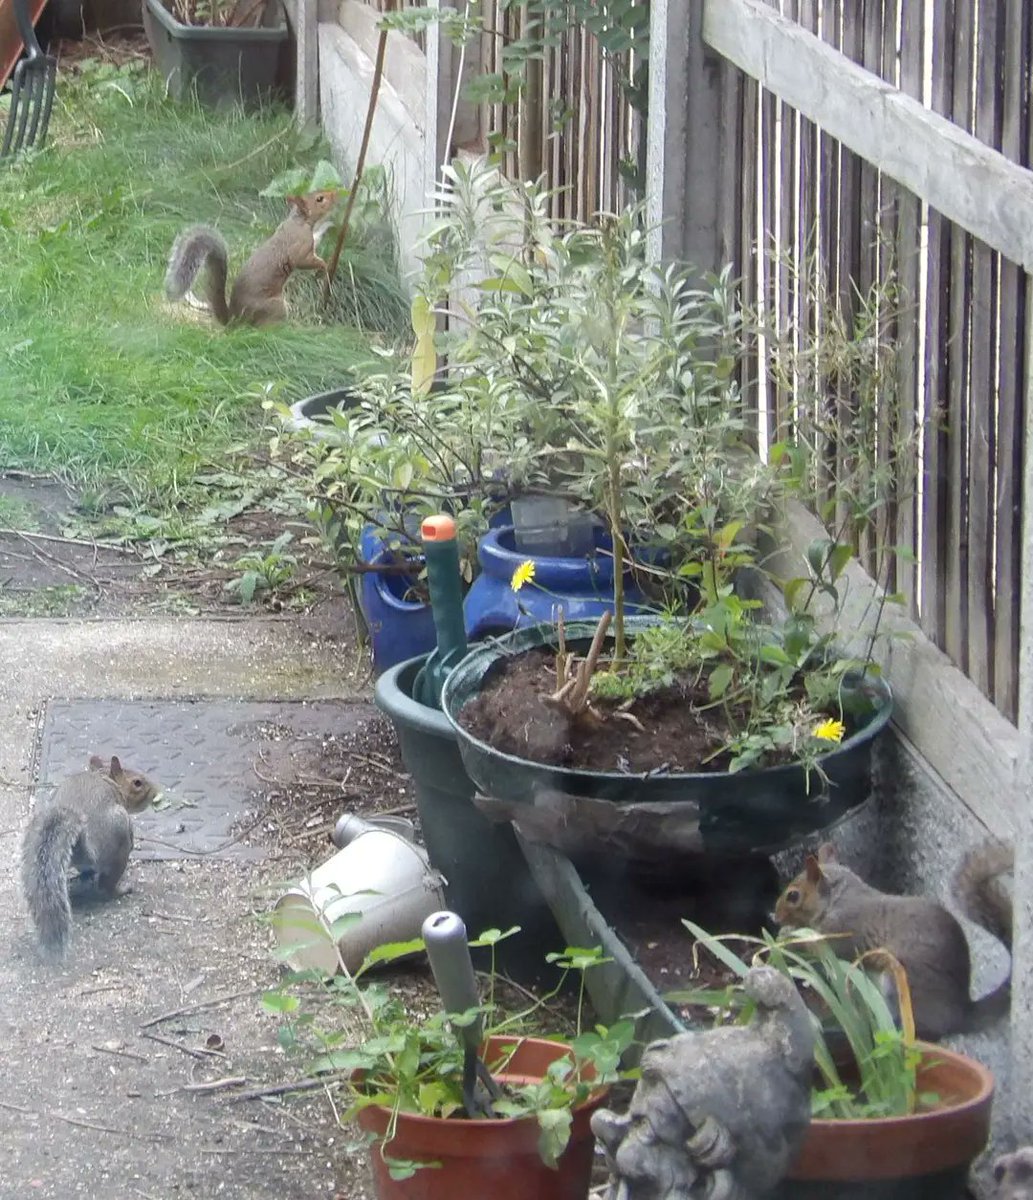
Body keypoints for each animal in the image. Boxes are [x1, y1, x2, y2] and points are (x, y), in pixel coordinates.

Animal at [21, 755, 160, 958]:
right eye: (137, 783)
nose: (156, 791)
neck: (106, 779)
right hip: (118, 841)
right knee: (105, 884)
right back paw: (121, 889)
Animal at [164, 189, 339, 327]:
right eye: (320, 199)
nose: (335, 193)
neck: (298, 220)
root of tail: (235, 319)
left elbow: (316, 238)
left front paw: (326, 226)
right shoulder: (299, 248)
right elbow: (304, 261)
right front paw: (324, 265)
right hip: (275, 306)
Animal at [774, 840, 1013, 1041]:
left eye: (793, 896)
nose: (776, 917)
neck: (836, 899)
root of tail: (961, 1013)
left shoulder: (842, 932)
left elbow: (820, 947)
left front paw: (788, 938)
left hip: (900, 981)